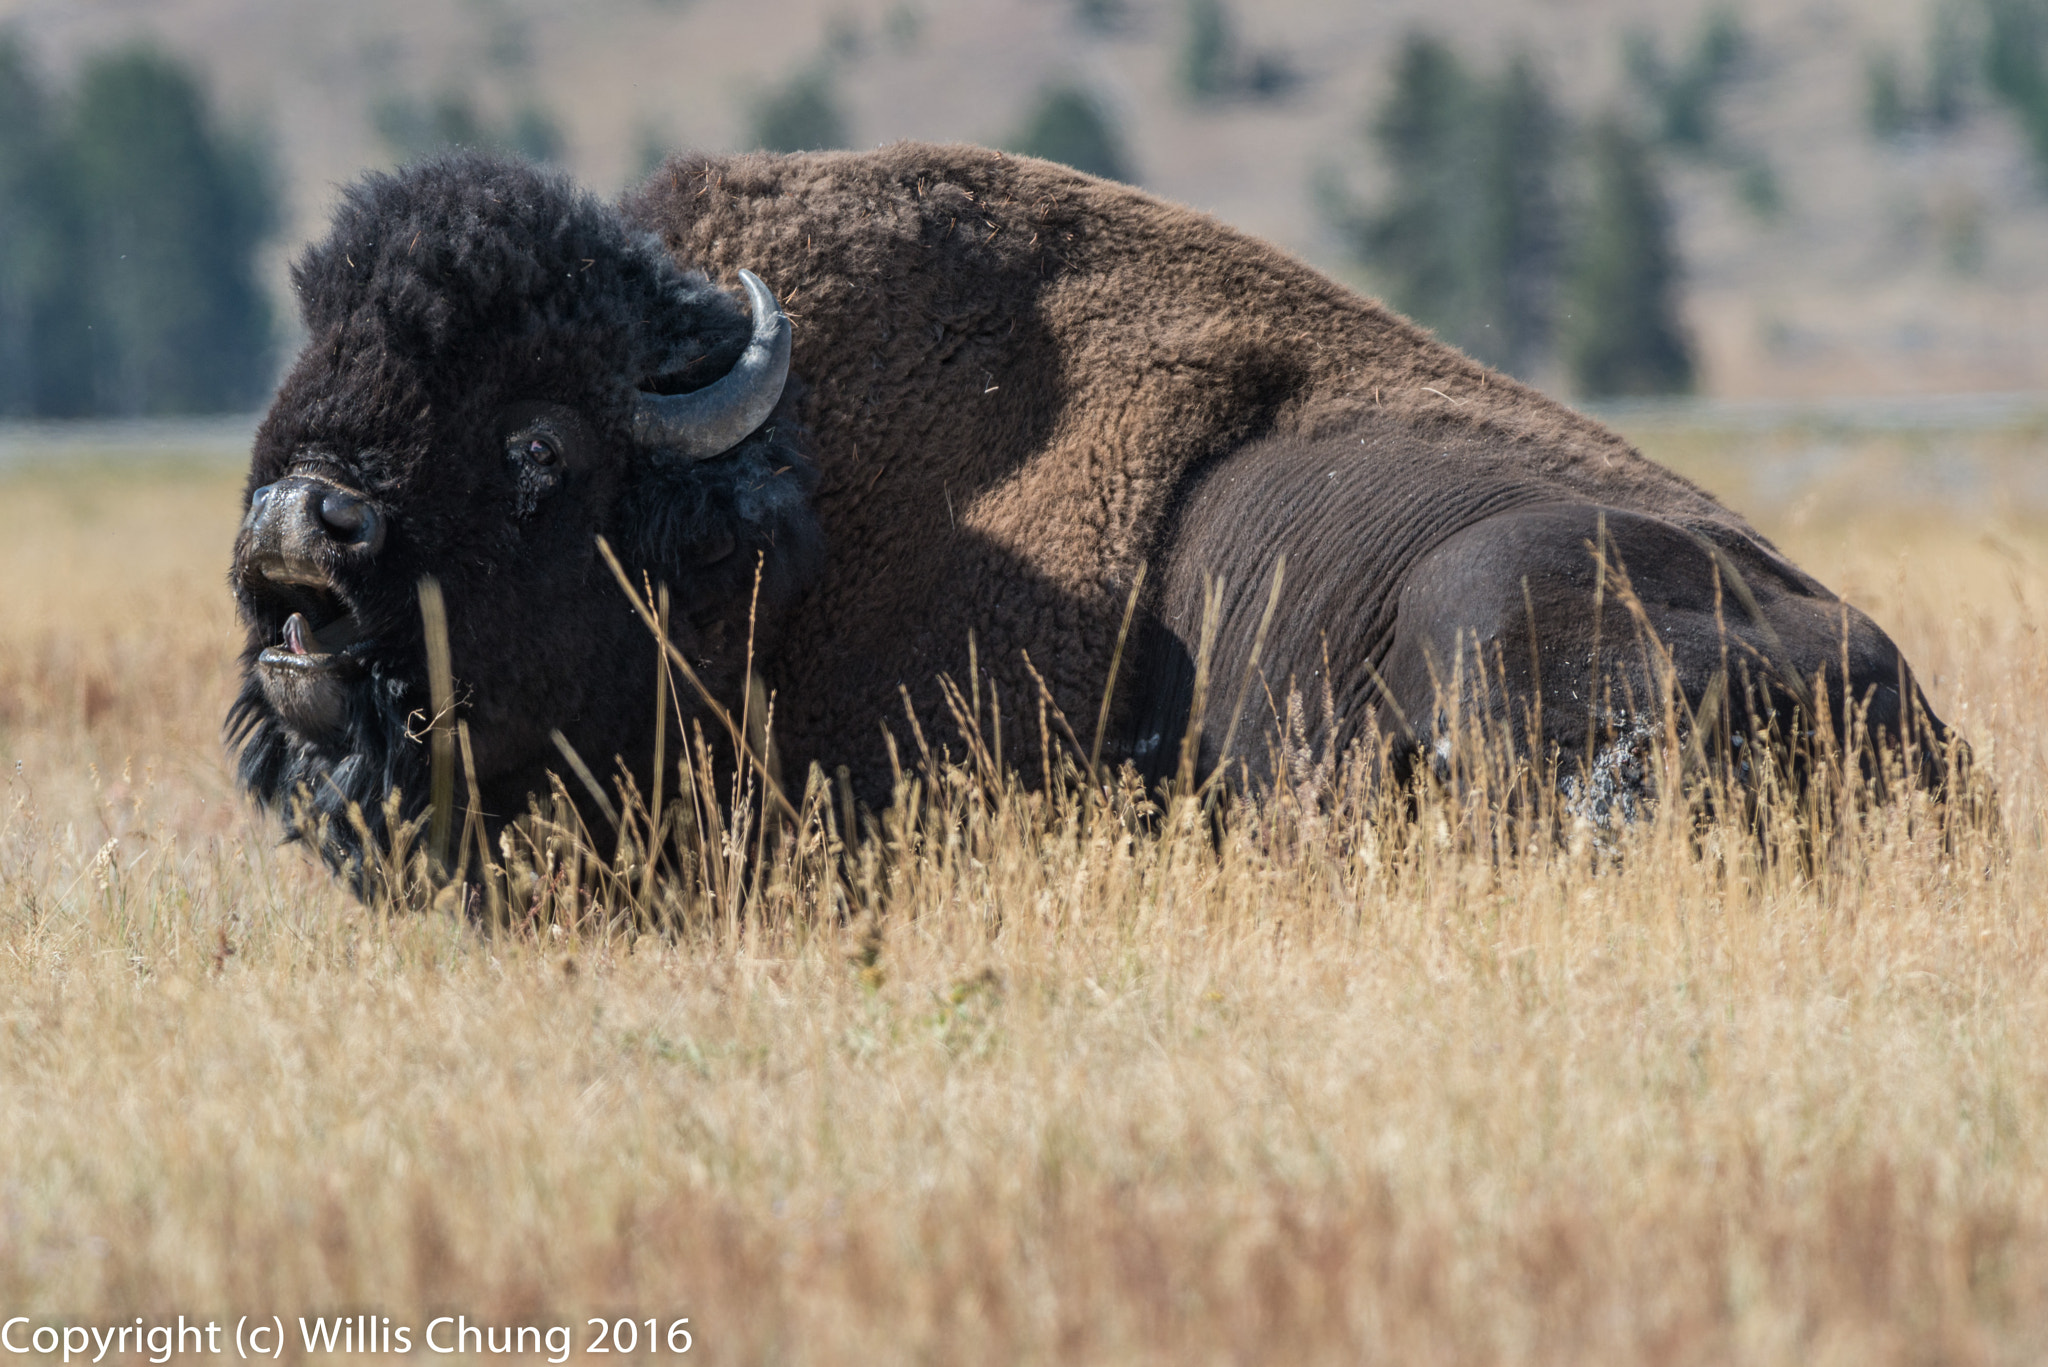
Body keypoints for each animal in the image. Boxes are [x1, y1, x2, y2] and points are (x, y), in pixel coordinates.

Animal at [232, 149, 1957, 877]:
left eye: (536, 436)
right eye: (304, 366)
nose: (299, 525)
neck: (779, 510)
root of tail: (1909, 693)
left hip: (1491, 597)